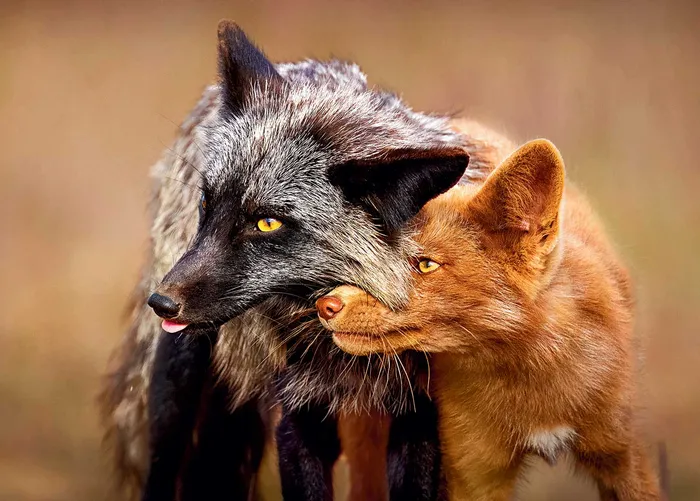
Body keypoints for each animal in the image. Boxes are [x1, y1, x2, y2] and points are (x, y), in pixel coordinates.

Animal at [99, 20, 520, 501]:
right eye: (208, 202)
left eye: (267, 223)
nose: (162, 303)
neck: (343, 351)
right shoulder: (299, 415)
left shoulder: (420, 415)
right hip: (179, 398)